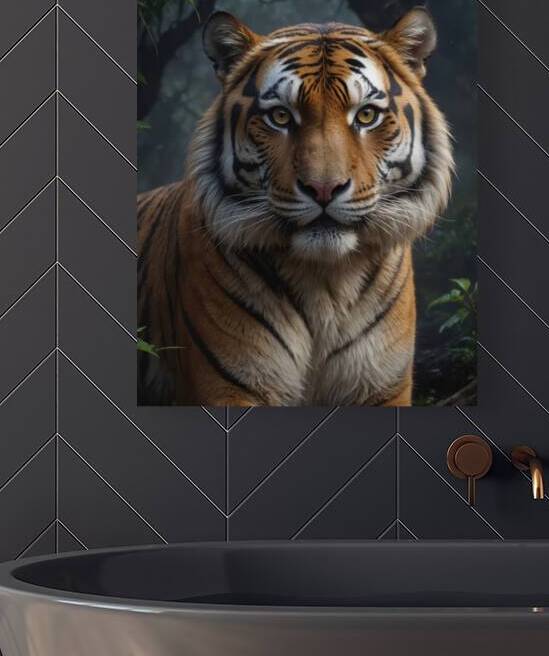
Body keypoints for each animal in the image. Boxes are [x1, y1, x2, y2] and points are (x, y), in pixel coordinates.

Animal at [138, 7, 454, 407]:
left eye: (366, 116)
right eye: (281, 117)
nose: (323, 188)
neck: (325, 282)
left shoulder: (383, 387)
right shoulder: (229, 387)